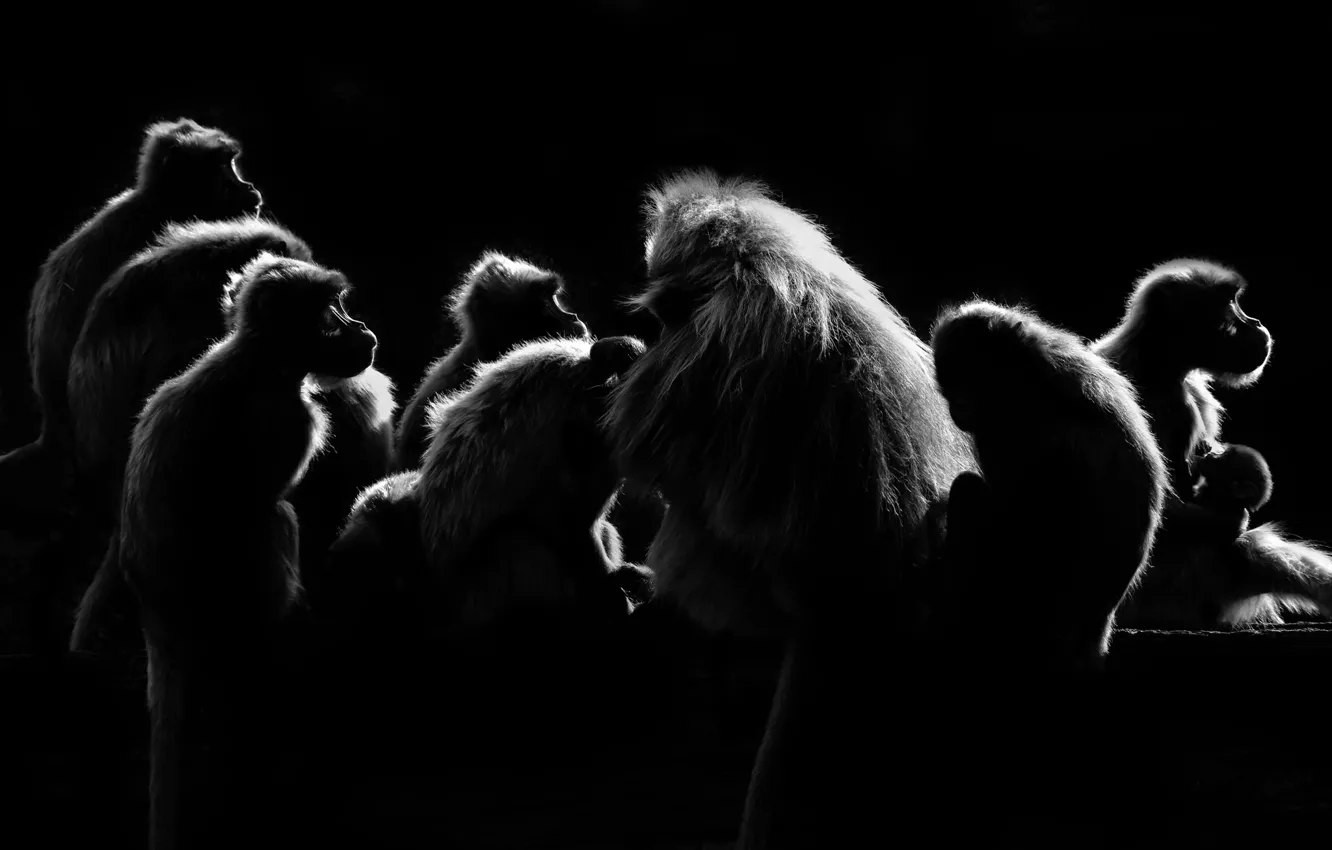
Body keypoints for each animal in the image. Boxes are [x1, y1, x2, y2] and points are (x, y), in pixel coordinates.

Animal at [117, 252, 377, 850]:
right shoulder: (288, 420)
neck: (259, 361)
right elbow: (264, 503)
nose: (361, 329)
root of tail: (158, 618)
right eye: (331, 315)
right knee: (273, 516)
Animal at [929, 300, 1167, 669]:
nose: (957, 407)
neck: (1035, 374)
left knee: (970, 492)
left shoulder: (1021, 431)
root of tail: (1093, 630)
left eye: (969, 380)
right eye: (951, 384)